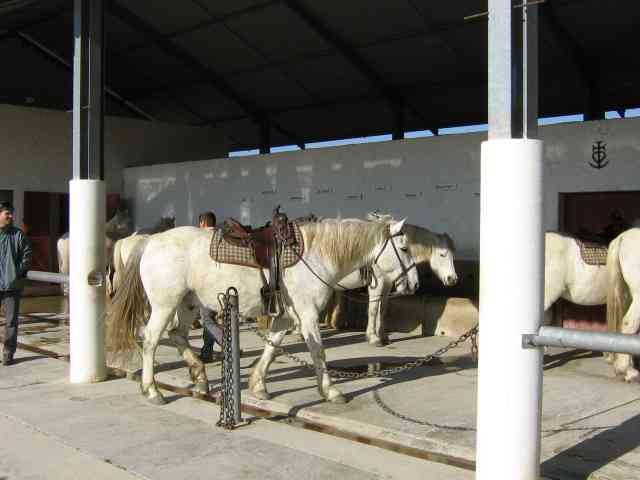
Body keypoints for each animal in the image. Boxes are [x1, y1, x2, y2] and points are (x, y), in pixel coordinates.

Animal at [105, 218, 419, 405]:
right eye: (404, 248)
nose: (415, 284)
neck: (315, 255)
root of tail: (150, 241)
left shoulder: (286, 317)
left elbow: (272, 347)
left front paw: (258, 386)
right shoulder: (307, 315)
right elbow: (318, 351)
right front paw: (331, 391)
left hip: (187, 304)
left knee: (177, 335)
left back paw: (201, 380)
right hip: (165, 304)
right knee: (151, 341)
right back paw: (153, 390)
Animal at [325, 211, 458, 346]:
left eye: (453, 255)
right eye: (442, 254)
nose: (453, 279)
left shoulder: (387, 284)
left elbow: (383, 309)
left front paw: (383, 336)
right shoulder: (376, 284)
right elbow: (373, 309)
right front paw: (373, 338)